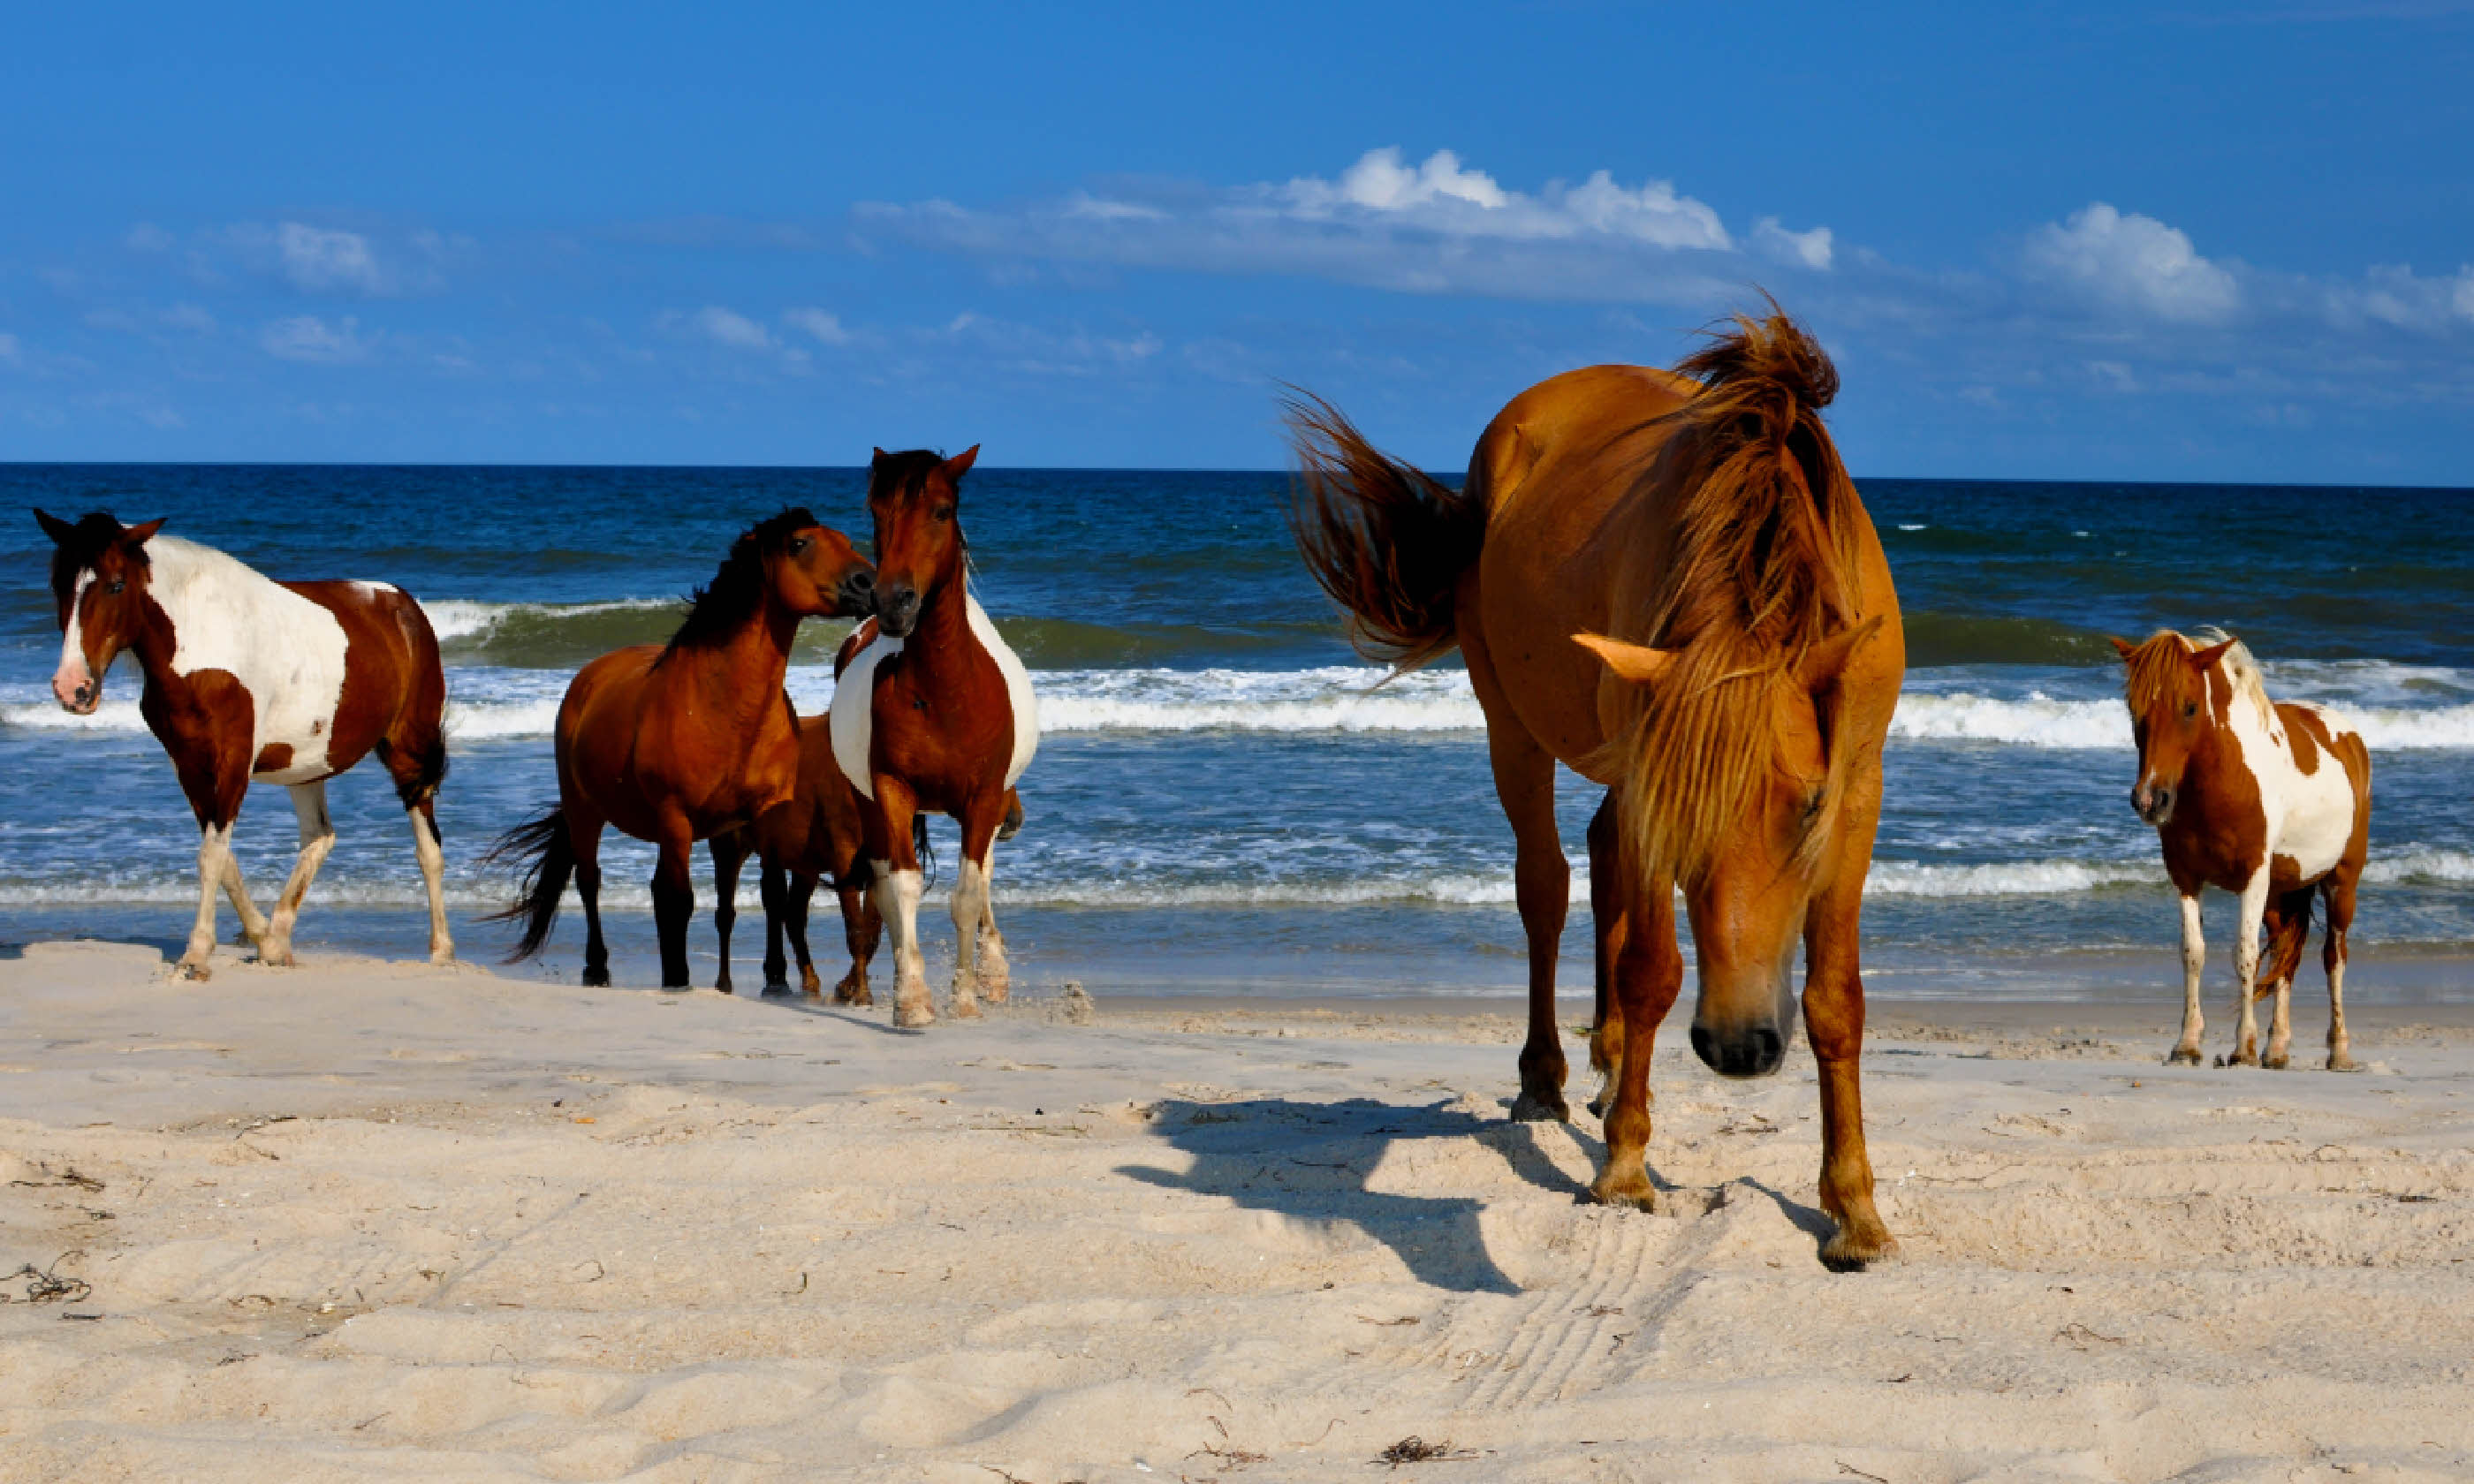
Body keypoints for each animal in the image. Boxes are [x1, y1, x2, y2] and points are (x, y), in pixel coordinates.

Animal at [32, 504, 455, 979]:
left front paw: (196, 956)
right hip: (304, 764)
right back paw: (280, 940)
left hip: (408, 751)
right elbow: (222, 855)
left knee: (428, 849)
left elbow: (212, 856)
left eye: (116, 584)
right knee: (319, 837)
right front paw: (261, 939)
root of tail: (404, 606)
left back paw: (441, 952)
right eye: (58, 583)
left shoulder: (234, 761)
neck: (199, 645)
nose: (73, 689)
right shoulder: (190, 766)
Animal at [487, 507, 876, 984]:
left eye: (846, 539)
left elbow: (771, 894)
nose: (868, 583)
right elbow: (682, 901)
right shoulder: (677, 816)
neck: (724, 705)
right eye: (799, 543)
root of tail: (589, 677)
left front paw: (776, 978)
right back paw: (600, 967)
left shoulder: (763, 814)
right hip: (586, 809)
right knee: (591, 880)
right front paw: (679, 978)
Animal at [821, 450, 1034, 1034]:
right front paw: (912, 1000)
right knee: (885, 884)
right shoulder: (892, 790)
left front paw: (965, 996)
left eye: (941, 510)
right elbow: (901, 889)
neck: (945, 691)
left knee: (983, 876)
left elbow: (967, 894)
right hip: (870, 805)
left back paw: (992, 974)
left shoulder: (983, 797)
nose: (893, 602)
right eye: (877, 511)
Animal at [1286, 313, 1900, 1261]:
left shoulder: (1858, 787)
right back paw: (1548, 1080)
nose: (1738, 1047)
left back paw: (1612, 1069)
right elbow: (1650, 970)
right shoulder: (1649, 782)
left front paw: (1855, 1212)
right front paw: (1625, 1170)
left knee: (1604, 855)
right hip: (1511, 725)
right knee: (1546, 887)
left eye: (1808, 808)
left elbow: (1836, 1002)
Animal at [2117, 625, 2364, 1068]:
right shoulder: (2185, 876)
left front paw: (2243, 1047)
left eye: (2190, 708)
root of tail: (2349, 736)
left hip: (2342, 882)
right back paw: (2277, 1049)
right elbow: (2193, 952)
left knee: (2334, 958)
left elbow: (2245, 955)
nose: (2150, 800)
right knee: (2286, 957)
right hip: (2281, 892)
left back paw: (2338, 1050)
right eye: (2134, 709)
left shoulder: (2253, 877)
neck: (2223, 780)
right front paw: (2187, 1043)